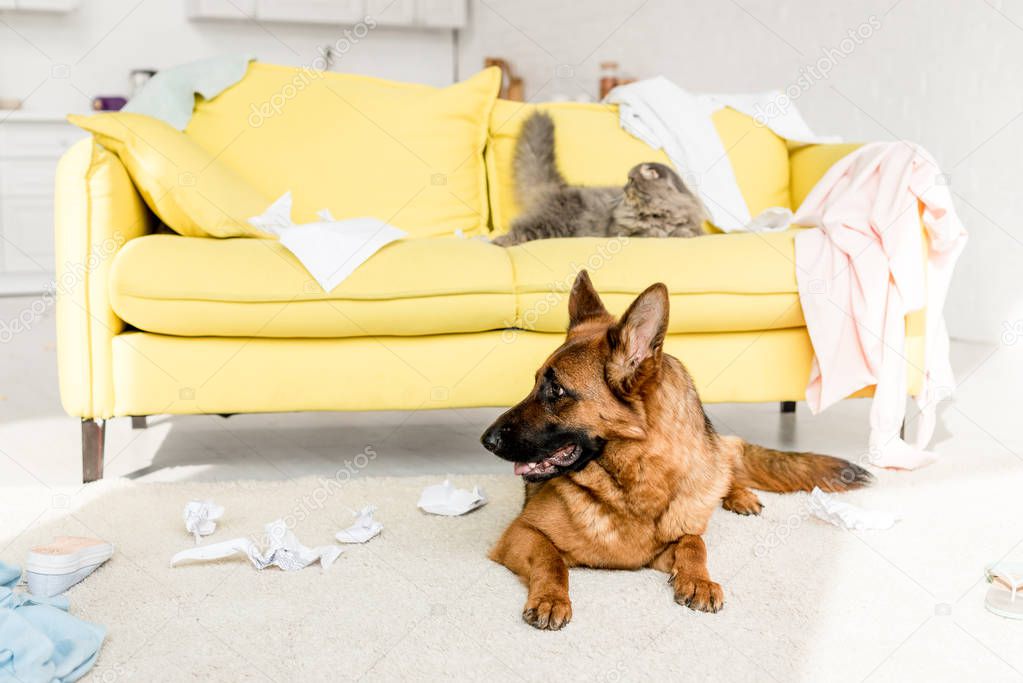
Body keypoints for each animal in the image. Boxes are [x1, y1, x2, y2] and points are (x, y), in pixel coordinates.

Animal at [478, 269, 871, 629]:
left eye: (556, 390)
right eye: (535, 383)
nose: (486, 440)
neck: (632, 484)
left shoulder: (673, 539)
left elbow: (694, 542)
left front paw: (698, 580)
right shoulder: (522, 532)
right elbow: (552, 560)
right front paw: (551, 598)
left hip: (712, 460)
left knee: (725, 466)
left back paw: (739, 495)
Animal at [493, 112, 703, 248]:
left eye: (631, 180)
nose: (623, 188)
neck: (659, 212)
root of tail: (560, 187)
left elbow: (687, 232)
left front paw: (679, 233)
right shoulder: (621, 231)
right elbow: (647, 232)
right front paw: (656, 232)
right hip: (553, 223)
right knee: (519, 229)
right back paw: (498, 242)